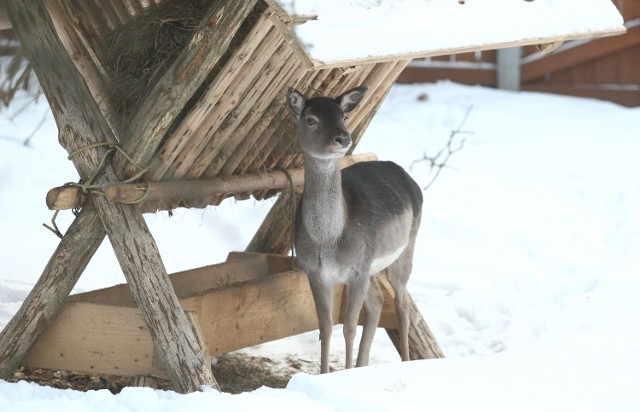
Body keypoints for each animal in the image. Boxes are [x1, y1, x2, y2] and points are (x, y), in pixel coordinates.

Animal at [288, 84, 422, 374]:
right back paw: (362, 365)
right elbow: (325, 326)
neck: (328, 240)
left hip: (405, 249)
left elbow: (349, 327)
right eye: (311, 120)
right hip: (373, 267)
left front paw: (345, 372)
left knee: (402, 304)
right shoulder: (313, 271)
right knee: (378, 302)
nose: (343, 139)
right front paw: (325, 373)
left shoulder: (357, 269)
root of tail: (407, 175)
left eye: (344, 116)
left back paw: (405, 361)